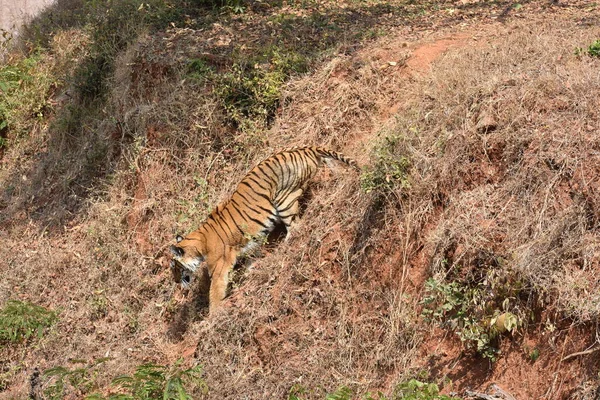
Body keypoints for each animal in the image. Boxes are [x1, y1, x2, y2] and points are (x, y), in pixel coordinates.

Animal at [169, 145, 356, 314]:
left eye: (175, 267)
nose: (176, 282)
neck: (199, 245)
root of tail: (303, 149)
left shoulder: (219, 267)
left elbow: (215, 291)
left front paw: (213, 316)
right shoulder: (250, 244)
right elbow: (252, 258)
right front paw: (251, 270)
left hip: (283, 199)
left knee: (295, 227)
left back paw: (283, 247)